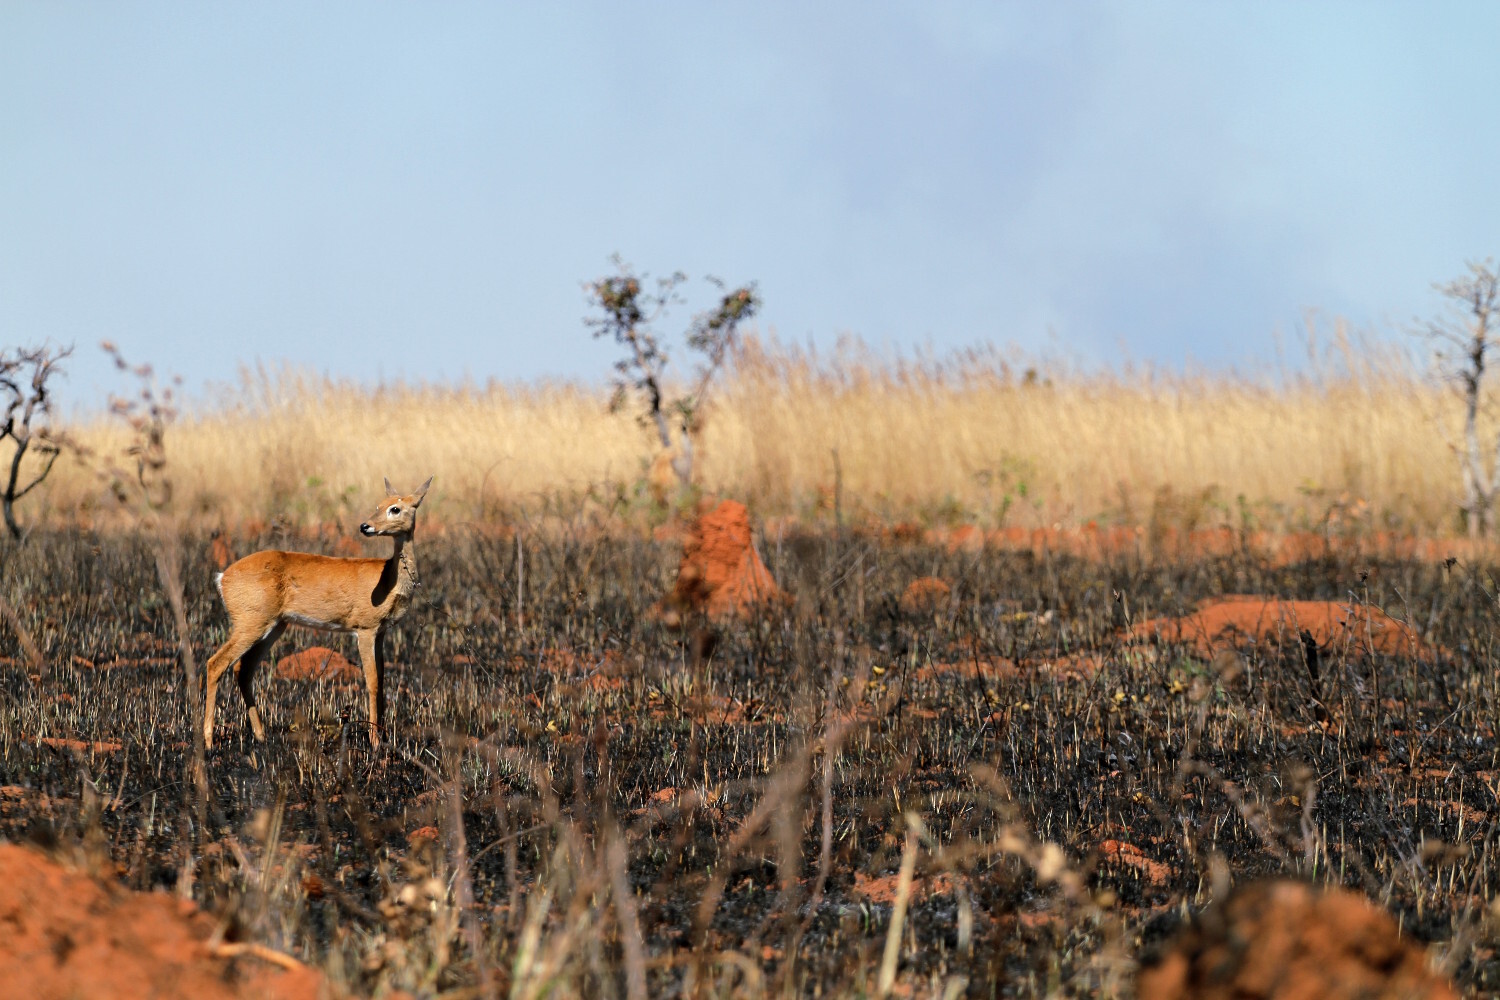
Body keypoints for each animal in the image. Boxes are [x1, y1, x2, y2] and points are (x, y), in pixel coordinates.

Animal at [202, 476, 435, 749]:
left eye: (395, 508)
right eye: (379, 505)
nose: (365, 526)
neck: (389, 578)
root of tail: (222, 577)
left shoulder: (381, 634)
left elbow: (382, 679)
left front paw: (384, 737)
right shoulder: (365, 630)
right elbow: (372, 682)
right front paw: (375, 741)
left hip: (274, 626)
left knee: (243, 669)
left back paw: (260, 736)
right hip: (251, 624)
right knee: (216, 663)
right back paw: (209, 741)